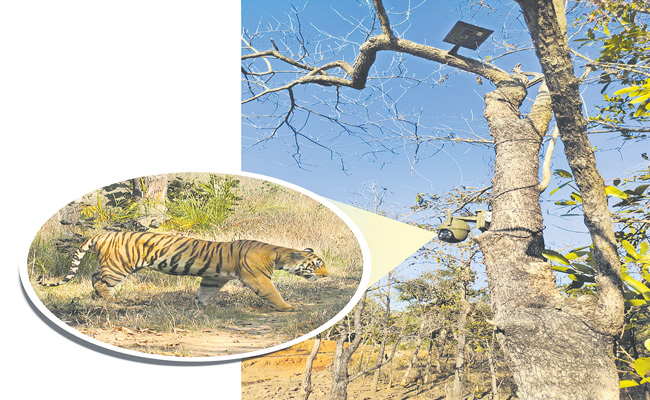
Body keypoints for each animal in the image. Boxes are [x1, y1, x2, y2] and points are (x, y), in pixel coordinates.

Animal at [37, 231, 328, 312]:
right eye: (317, 264)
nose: (327, 276)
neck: (278, 255)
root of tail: (102, 233)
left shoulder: (213, 277)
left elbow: (205, 292)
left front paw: (201, 306)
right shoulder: (257, 278)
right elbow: (273, 293)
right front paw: (288, 307)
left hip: (111, 266)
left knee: (94, 277)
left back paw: (99, 298)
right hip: (119, 267)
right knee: (100, 281)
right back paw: (112, 302)